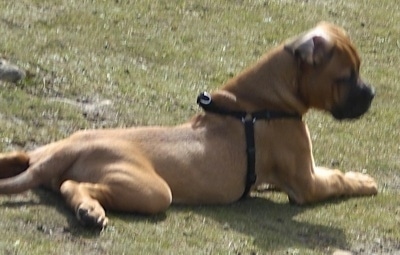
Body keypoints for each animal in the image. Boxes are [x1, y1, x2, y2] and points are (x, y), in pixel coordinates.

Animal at [0, 22, 376, 228]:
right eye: (346, 77)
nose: (372, 93)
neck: (264, 101)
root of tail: (67, 149)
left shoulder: (296, 173)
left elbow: (330, 170)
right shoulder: (306, 184)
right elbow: (338, 179)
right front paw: (365, 181)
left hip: (40, 153)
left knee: (23, 159)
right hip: (151, 190)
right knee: (71, 185)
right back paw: (90, 211)